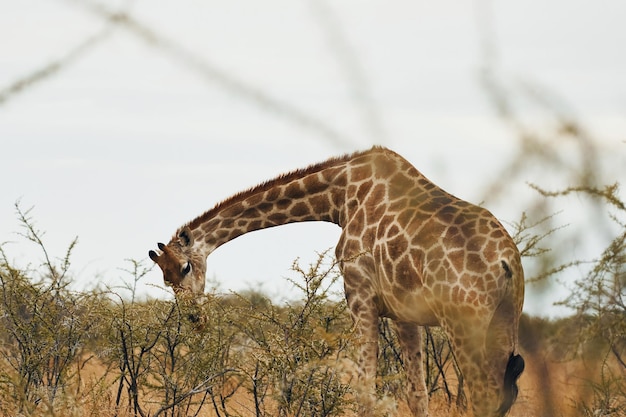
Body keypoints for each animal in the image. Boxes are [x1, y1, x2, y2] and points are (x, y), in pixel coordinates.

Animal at [149, 146, 524, 416]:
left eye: (185, 267)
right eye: (166, 281)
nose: (195, 319)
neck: (339, 198)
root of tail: (506, 261)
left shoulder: (358, 293)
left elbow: (365, 390)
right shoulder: (404, 313)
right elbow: (416, 393)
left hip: (464, 324)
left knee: (483, 398)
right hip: (504, 322)